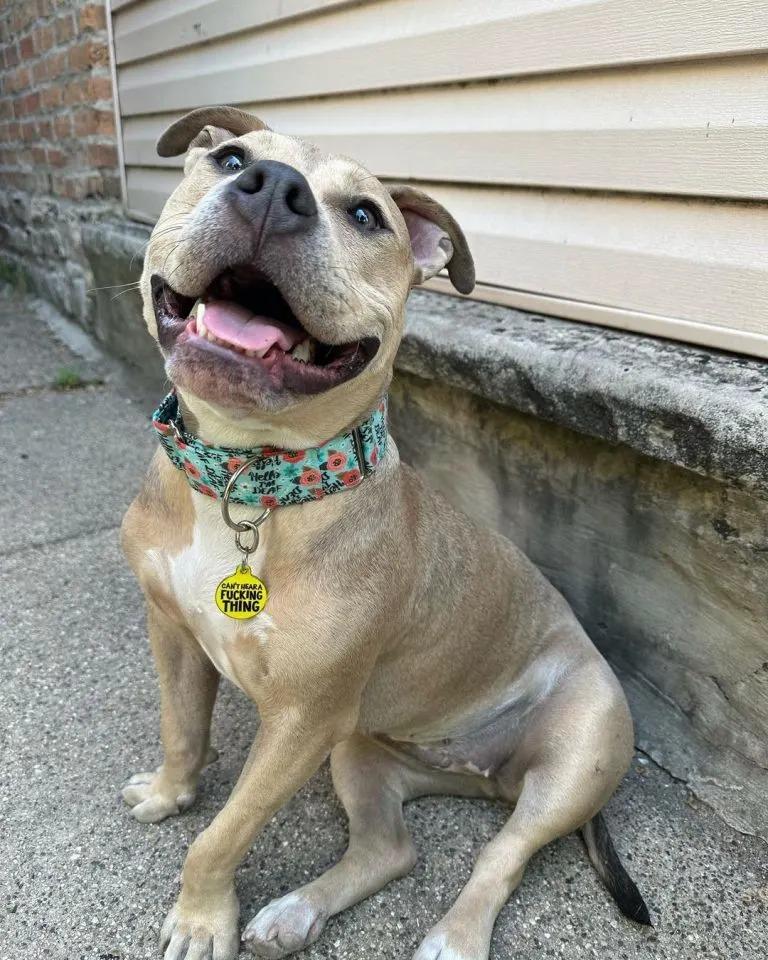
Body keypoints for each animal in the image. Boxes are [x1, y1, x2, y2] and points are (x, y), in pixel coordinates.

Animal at [123, 107, 652, 960]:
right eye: (230, 159)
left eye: (366, 215)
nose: (272, 188)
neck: (248, 482)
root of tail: (478, 772)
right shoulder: (173, 632)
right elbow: (182, 733)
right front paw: (172, 794)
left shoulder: (301, 722)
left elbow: (224, 834)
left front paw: (202, 919)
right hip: (362, 752)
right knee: (390, 849)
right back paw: (295, 911)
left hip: (573, 761)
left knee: (501, 854)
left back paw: (453, 938)